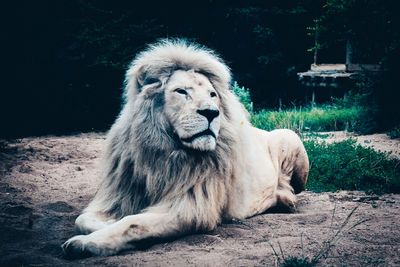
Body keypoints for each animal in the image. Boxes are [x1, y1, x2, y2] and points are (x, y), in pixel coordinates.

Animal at [61, 38, 310, 258]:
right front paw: (108, 223)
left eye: (213, 95)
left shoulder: (191, 208)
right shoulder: (119, 194)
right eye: (181, 91)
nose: (211, 112)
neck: (162, 155)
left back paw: (285, 200)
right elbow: (82, 220)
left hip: (288, 136)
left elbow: (133, 223)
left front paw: (83, 244)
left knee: (290, 186)